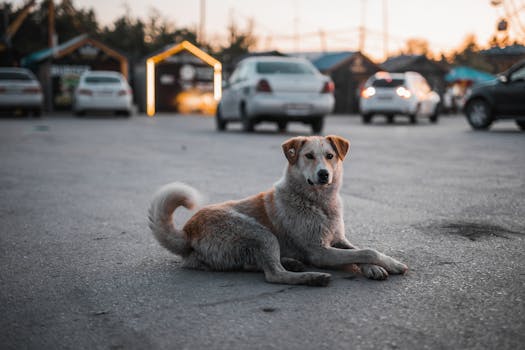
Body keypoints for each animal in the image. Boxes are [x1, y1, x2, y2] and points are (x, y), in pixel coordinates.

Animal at [149, 135, 408, 286]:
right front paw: (391, 265)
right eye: (309, 156)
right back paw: (312, 277)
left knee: (257, 265)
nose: (324, 174)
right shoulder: (319, 252)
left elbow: (360, 251)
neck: (319, 203)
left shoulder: (338, 240)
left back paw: (293, 263)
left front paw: (379, 266)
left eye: (330, 156)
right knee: (273, 275)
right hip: (260, 233)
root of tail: (187, 231)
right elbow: (366, 251)